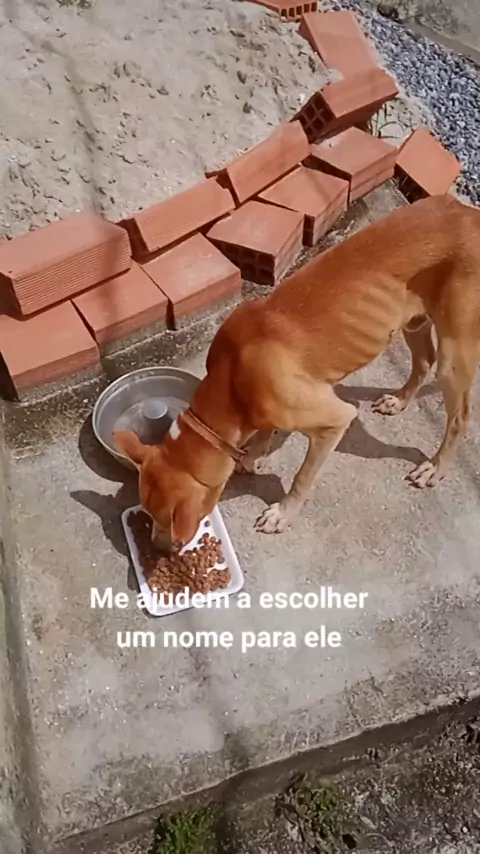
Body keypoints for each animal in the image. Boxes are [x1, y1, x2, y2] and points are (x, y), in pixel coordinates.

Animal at [114, 195, 480, 549]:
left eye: (166, 520)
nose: (158, 548)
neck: (232, 377)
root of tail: (470, 214)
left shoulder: (334, 420)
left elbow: (302, 477)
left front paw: (282, 514)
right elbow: (263, 431)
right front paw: (254, 454)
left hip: (454, 355)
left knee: (459, 416)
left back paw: (435, 468)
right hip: (413, 321)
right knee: (423, 361)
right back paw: (400, 401)